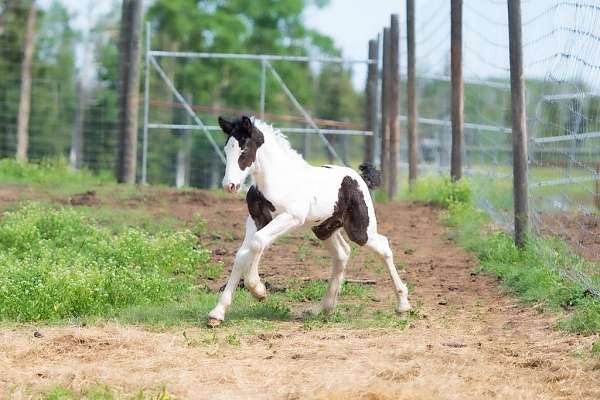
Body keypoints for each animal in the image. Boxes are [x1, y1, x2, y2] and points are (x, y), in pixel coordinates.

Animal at [209, 114, 410, 326]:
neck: (278, 179)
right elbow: (243, 253)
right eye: (226, 149)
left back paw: (403, 304)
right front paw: (217, 313)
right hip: (324, 229)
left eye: (244, 150)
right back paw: (322, 308)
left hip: (360, 230)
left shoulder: (291, 217)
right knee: (342, 253)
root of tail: (359, 177)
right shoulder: (256, 219)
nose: (229, 185)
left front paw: (258, 289)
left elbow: (258, 242)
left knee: (383, 247)